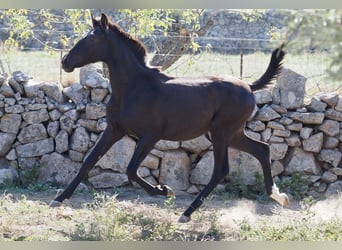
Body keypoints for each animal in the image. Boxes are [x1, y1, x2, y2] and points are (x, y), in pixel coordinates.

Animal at [52, 13, 290, 223]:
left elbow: (131, 170)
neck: (134, 87)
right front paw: (59, 198)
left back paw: (186, 214)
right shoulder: (114, 129)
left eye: (92, 38)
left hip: (221, 133)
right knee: (262, 149)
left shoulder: (150, 136)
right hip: (232, 134)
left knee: (221, 170)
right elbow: (89, 161)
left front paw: (164, 190)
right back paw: (278, 196)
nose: (65, 62)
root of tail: (249, 87)